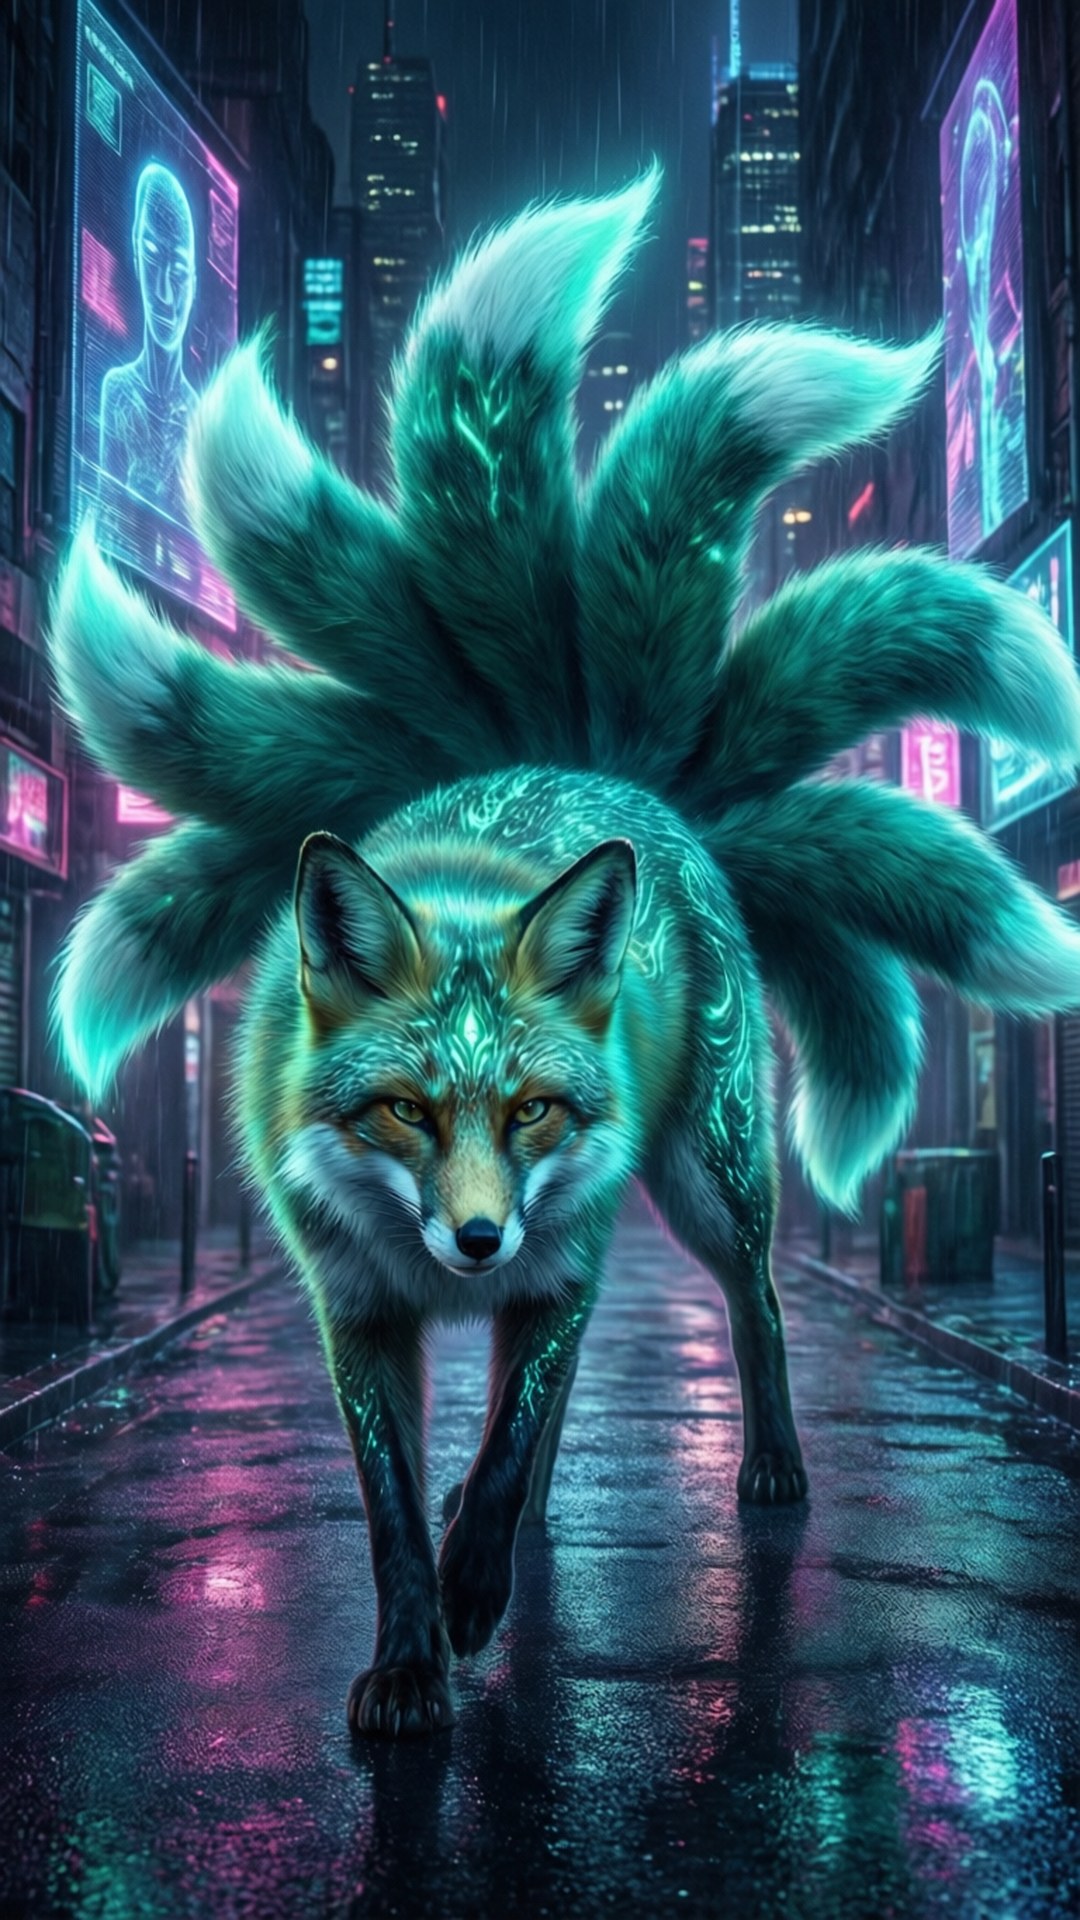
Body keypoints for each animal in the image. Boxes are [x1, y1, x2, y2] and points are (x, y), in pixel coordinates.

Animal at [48, 169, 1080, 1739]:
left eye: (529, 1106)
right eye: (404, 1110)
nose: (476, 1238)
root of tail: (615, 775)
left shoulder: (565, 1256)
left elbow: (513, 1428)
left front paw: (477, 1586)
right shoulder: (357, 1312)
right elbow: (396, 1505)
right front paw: (415, 1653)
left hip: (703, 1176)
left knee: (754, 1304)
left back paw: (763, 1466)